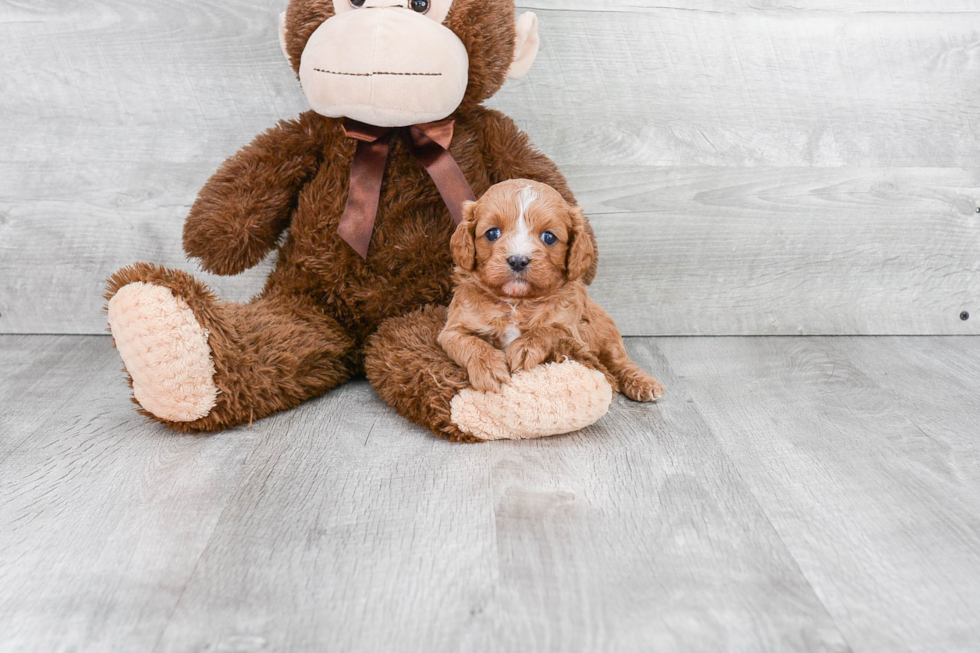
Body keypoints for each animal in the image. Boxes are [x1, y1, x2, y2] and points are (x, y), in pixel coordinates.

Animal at [438, 180, 664, 402]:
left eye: (549, 237)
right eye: (492, 233)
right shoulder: (453, 330)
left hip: (605, 329)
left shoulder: (571, 330)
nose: (518, 260)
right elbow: (470, 343)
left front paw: (526, 347)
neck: (516, 301)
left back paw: (643, 383)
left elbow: (548, 331)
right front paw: (488, 368)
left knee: (619, 360)